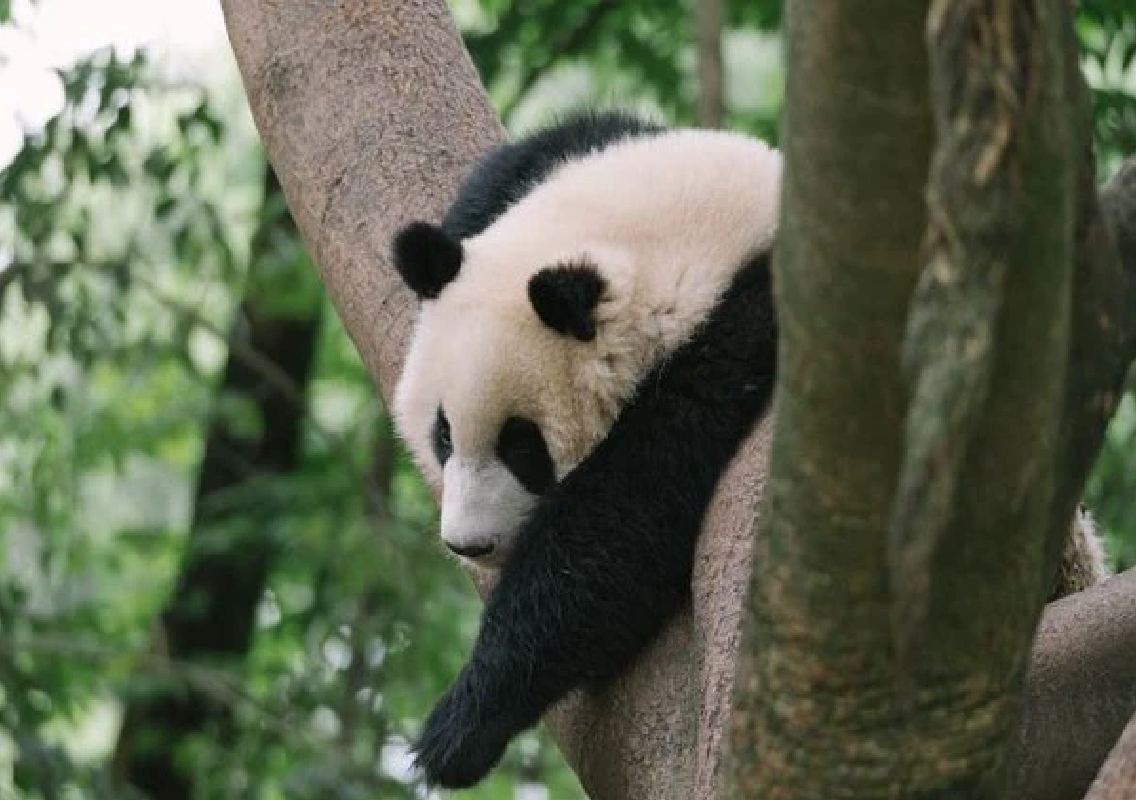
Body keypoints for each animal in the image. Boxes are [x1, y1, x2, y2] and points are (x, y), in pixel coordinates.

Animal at [389, 110, 1109, 789]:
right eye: (444, 433)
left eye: (523, 447)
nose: (468, 544)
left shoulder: (746, 343)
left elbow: (618, 527)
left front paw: (461, 725)